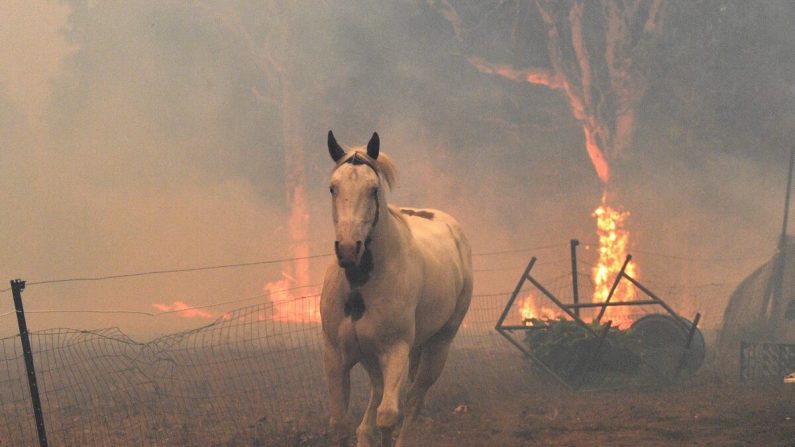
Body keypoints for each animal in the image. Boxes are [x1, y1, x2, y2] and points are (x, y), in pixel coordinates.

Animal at [320, 131, 472, 446]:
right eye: (333, 188)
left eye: (373, 189)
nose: (349, 250)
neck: (361, 285)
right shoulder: (336, 355)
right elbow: (341, 422)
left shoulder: (395, 351)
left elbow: (388, 417)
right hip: (373, 358)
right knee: (375, 404)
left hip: (438, 347)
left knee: (413, 402)